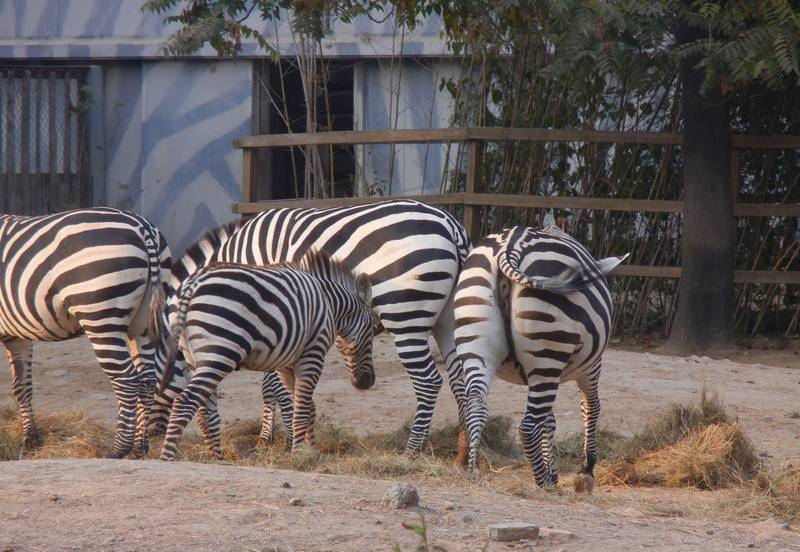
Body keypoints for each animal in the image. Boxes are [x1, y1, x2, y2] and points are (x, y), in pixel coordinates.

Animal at [0, 207, 170, 458]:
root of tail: (143, 227)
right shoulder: (18, 335)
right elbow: (22, 385)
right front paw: (30, 440)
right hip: (143, 324)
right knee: (147, 379)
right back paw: (139, 448)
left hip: (100, 315)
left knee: (127, 380)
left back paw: (118, 450)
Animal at [154, 252, 378, 460]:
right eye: (373, 328)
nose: (367, 382)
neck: (329, 305)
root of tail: (192, 283)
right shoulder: (313, 353)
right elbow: (302, 408)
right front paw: (299, 454)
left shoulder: (287, 363)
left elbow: (307, 407)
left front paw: (310, 449)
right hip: (219, 353)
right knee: (184, 402)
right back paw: (167, 457)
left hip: (195, 358)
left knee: (204, 412)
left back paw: (217, 459)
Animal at [454, 226, 628, 490]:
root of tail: (511, 245)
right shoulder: (591, 367)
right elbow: (591, 407)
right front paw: (585, 471)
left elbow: (550, 420)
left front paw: (554, 471)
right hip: (548, 355)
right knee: (527, 426)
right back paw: (543, 483)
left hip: (476, 343)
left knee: (476, 405)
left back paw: (472, 469)